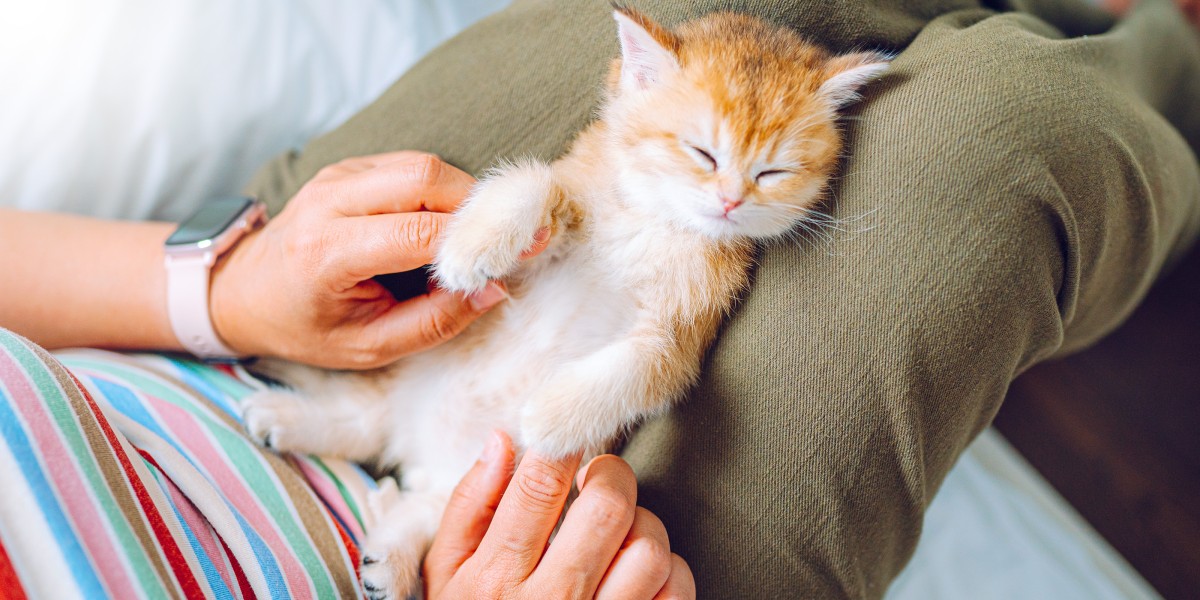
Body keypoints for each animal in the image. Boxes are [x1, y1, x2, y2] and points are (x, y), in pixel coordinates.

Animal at [243, 7, 892, 597]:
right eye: (703, 153)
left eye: (773, 172)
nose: (731, 200)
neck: (655, 223)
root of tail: (417, 445)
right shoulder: (532, 264)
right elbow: (538, 183)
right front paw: (473, 243)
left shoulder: (681, 336)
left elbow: (644, 368)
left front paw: (551, 416)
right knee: (365, 415)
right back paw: (285, 409)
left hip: (459, 479)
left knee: (405, 478)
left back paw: (382, 548)